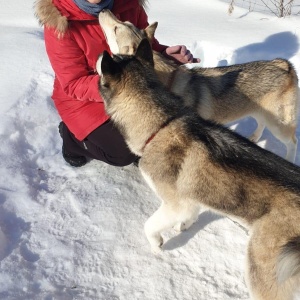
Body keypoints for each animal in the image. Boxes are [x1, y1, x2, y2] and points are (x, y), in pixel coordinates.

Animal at [96, 39, 300, 300]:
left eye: (113, 57)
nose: (97, 56)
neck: (161, 125)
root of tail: (282, 64)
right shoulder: (192, 196)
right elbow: (191, 212)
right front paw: (184, 225)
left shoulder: (174, 204)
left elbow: (149, 225)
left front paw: (156, 243)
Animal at [98, 9, 298, 163]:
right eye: (122, 23)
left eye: (116, 28)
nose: (104, 10)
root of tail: (284, 64)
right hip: (262, 113)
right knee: (261, 122)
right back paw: (254, 137)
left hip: (279, 125)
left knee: (293, 143)